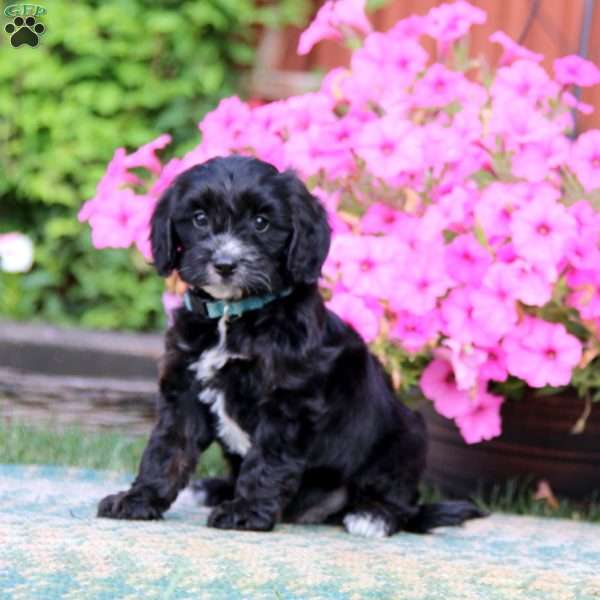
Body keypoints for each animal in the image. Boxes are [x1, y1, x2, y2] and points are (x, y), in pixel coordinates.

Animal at [98, 155, 482, 536]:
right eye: (200, 218)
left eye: (261, 222)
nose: (225, 264)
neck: (233, 315)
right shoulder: (185, 387)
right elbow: (167, 448)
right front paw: (138, 499)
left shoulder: (289, 399)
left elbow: (268, 458)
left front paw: (247, 511)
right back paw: (214, 488)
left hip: (406, 436)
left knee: (401, 499)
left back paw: (373, 515)